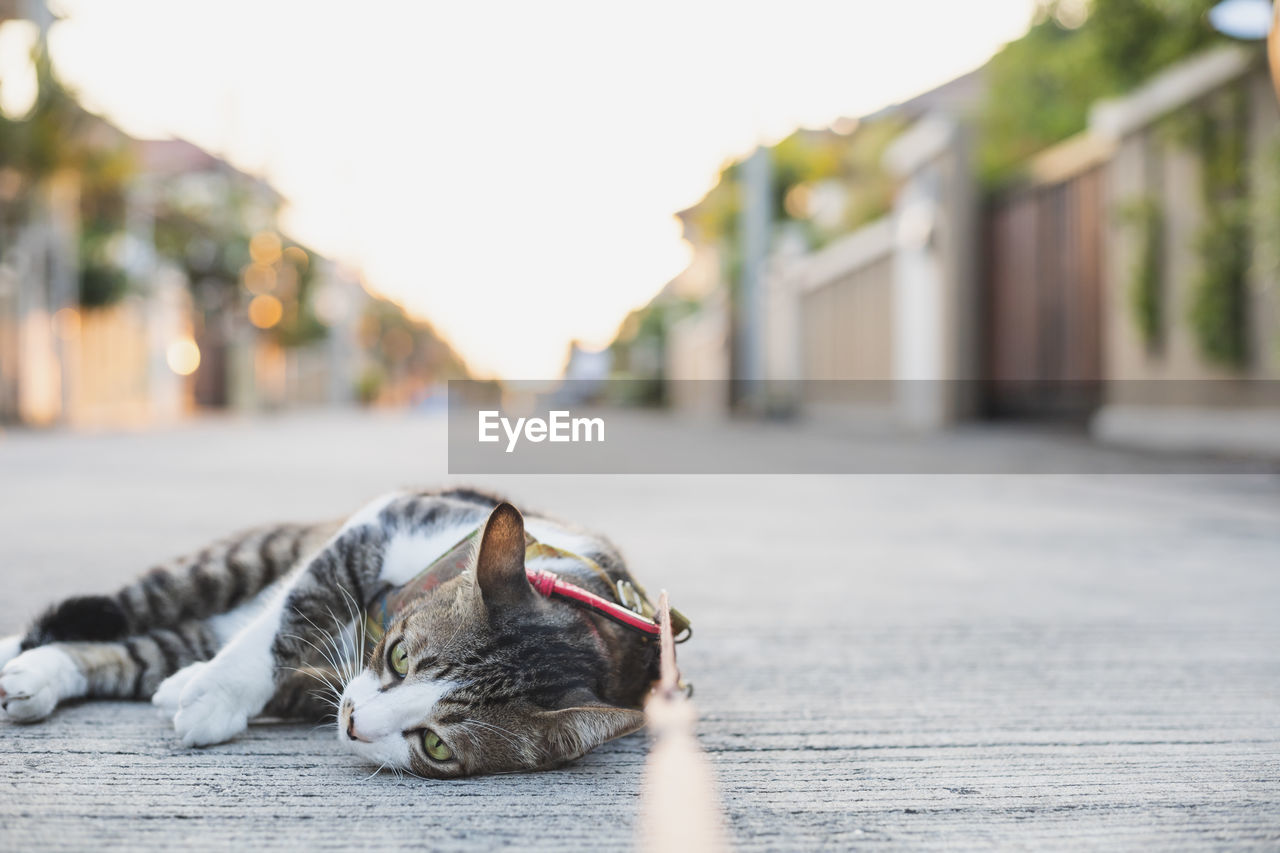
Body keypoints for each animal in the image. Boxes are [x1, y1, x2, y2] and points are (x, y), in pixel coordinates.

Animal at [0, 489, 665, 773]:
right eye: (400, 658)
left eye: (437, 746)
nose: (352, 724)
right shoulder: (384, 521)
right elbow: (297, 609)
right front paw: (216, 691)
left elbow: (300, 679)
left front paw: (197, 690)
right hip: (229, 565)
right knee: (134, 606)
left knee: (135, 653)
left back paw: (39, 678)